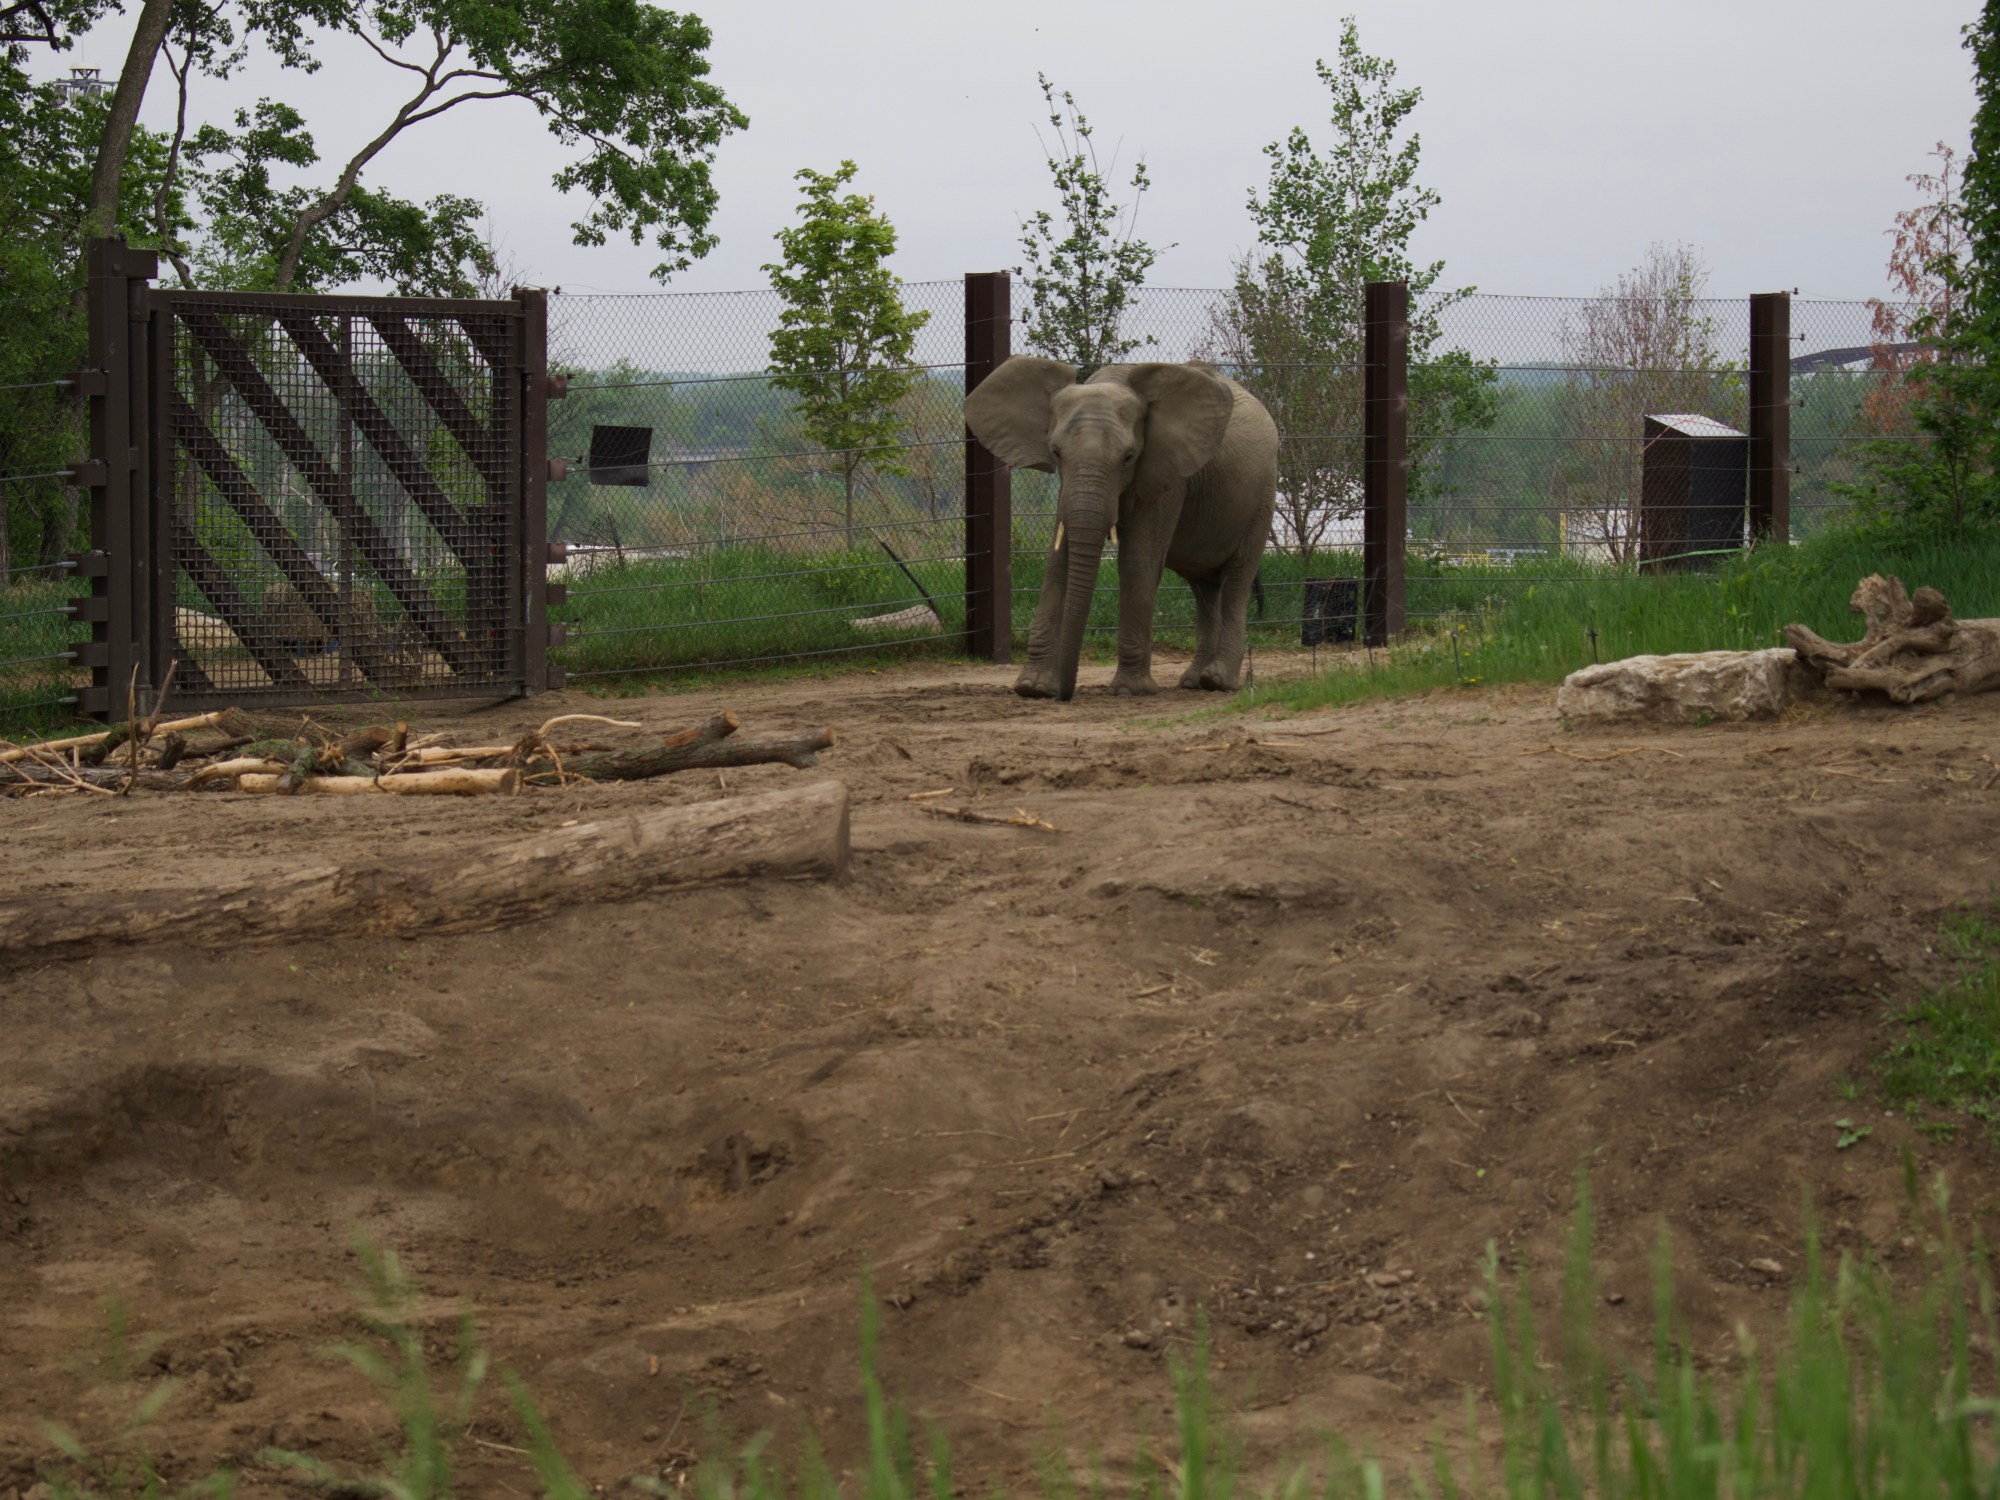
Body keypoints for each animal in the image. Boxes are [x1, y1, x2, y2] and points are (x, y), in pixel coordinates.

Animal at [964, 356, 1279, 702]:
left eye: (1128, 457)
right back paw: (1194, 681)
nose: (1066, 695)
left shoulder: (1166, 474)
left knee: (1237, 578)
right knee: (1204, 587)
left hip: (1263, 493)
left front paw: (1130, 690)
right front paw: (1033, 688)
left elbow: (1138, 561)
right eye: (1056, 453)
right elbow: (1059, 562)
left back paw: (1218, 681)